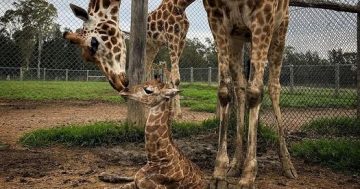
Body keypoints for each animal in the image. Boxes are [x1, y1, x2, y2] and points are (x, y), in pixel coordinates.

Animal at [204, 0, 300, 188]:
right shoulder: (215, 19)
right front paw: (218, 174)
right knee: (240, 86)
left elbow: (255, 92)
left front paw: (248, 177)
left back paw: (288, 165)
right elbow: (224, 91)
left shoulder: (263, 17)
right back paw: (235, 164)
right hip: (237, 38)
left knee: (274, 86)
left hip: (280, 29)